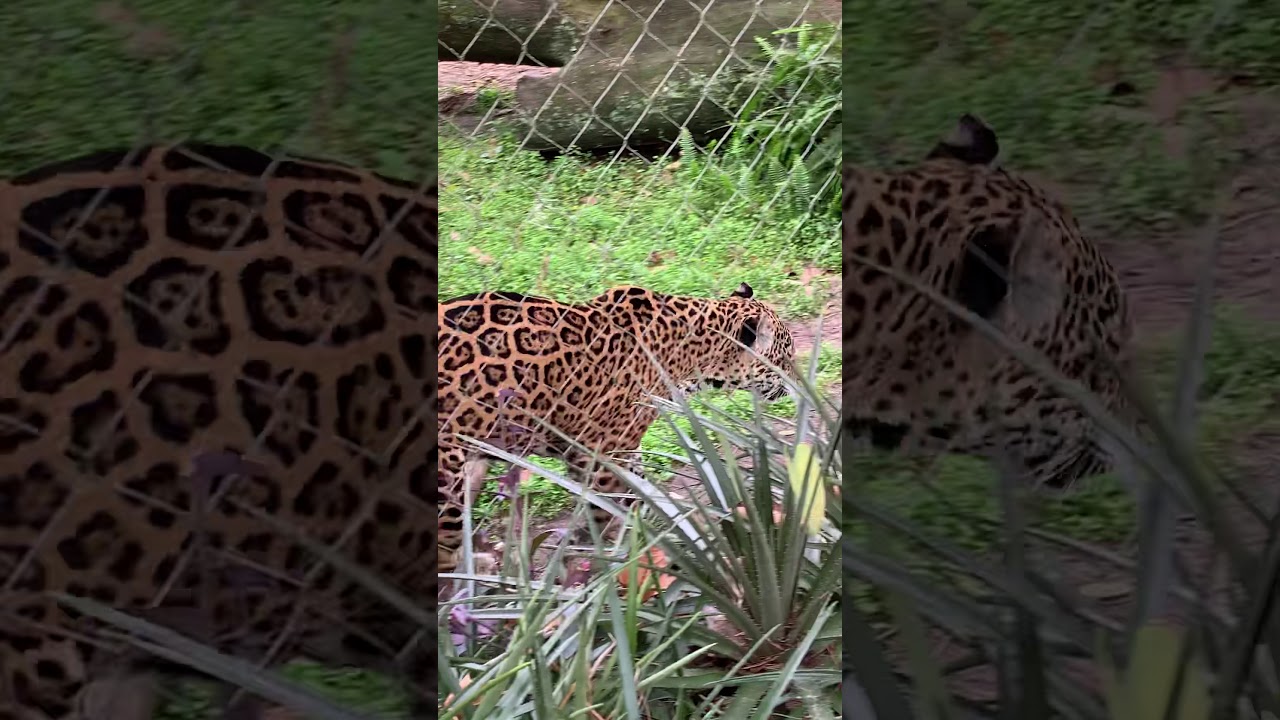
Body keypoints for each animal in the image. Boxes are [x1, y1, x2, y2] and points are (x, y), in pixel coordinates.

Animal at [437, 282, 796, 575]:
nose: (797, 381)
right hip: (446, 477)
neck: (690, 356)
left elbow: (639, 489)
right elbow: (608, 506)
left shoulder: (619, 447)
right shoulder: (599, 452)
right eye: (786, 355)